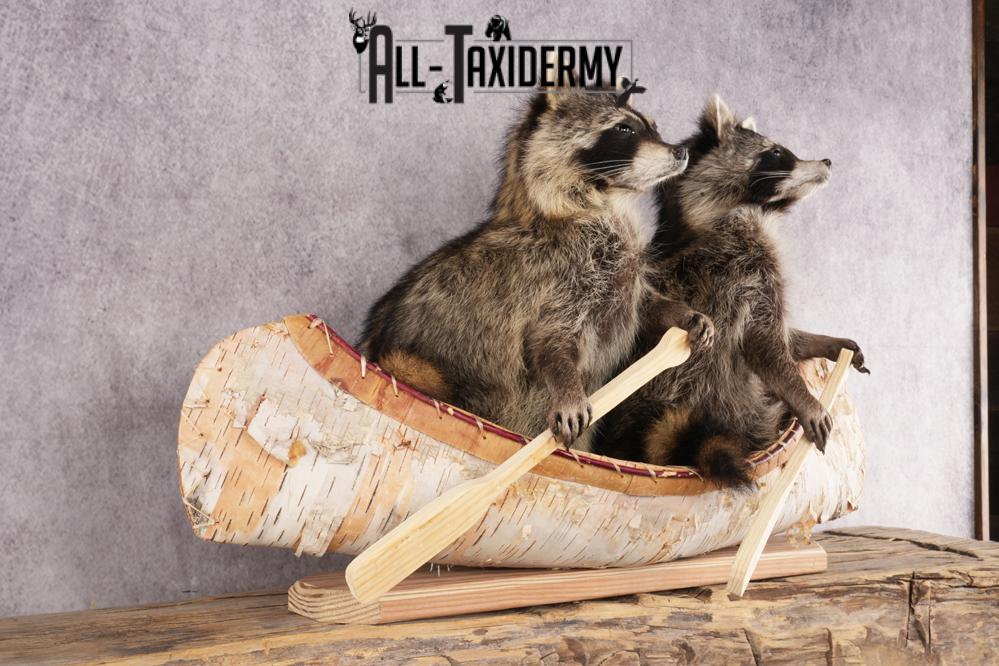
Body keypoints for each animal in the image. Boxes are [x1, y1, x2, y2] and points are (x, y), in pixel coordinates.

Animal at [360, 79, 711, 450]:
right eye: (624, 129)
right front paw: (567, 387)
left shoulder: (621, 277)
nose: (680, 152)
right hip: (416, 367)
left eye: (654, 128)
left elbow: (643, 305)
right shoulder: (555, 277)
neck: (606, 201)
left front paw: (680, 313)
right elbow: (551, 341)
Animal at [595, 95, 867, 484]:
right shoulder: (744, 272)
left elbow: (786, 338)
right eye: (776, 153)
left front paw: (824, 342)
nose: (827, 161)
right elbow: (766, 346)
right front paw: (803, 396)